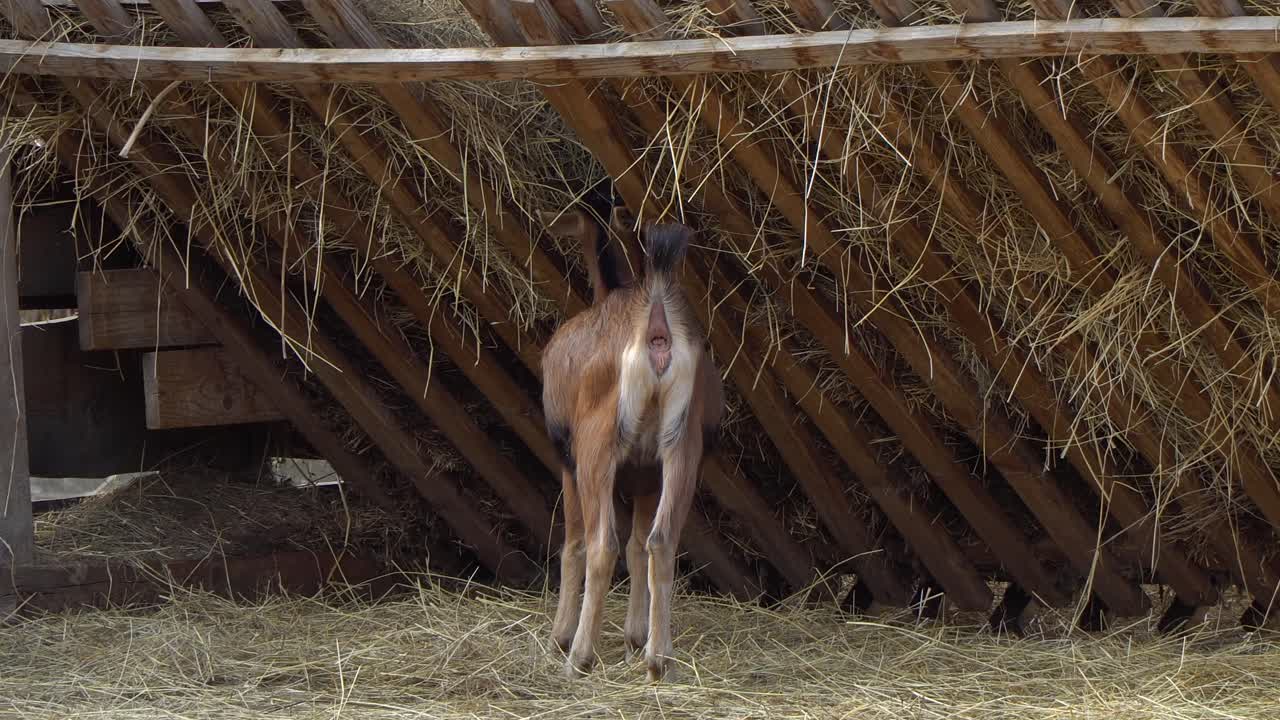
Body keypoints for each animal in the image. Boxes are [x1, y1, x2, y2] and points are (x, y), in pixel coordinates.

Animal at [538, 207, 723, 681]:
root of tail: (657, 329)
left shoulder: (568, 460)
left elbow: (573, 545)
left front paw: (559, 639)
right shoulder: (644, 473)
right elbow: (639, 545)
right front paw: (634, 640)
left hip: (597, 447)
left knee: (601, 543)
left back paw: (578, 657)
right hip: (682, 445)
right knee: (661, 539)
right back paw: (659, 660)